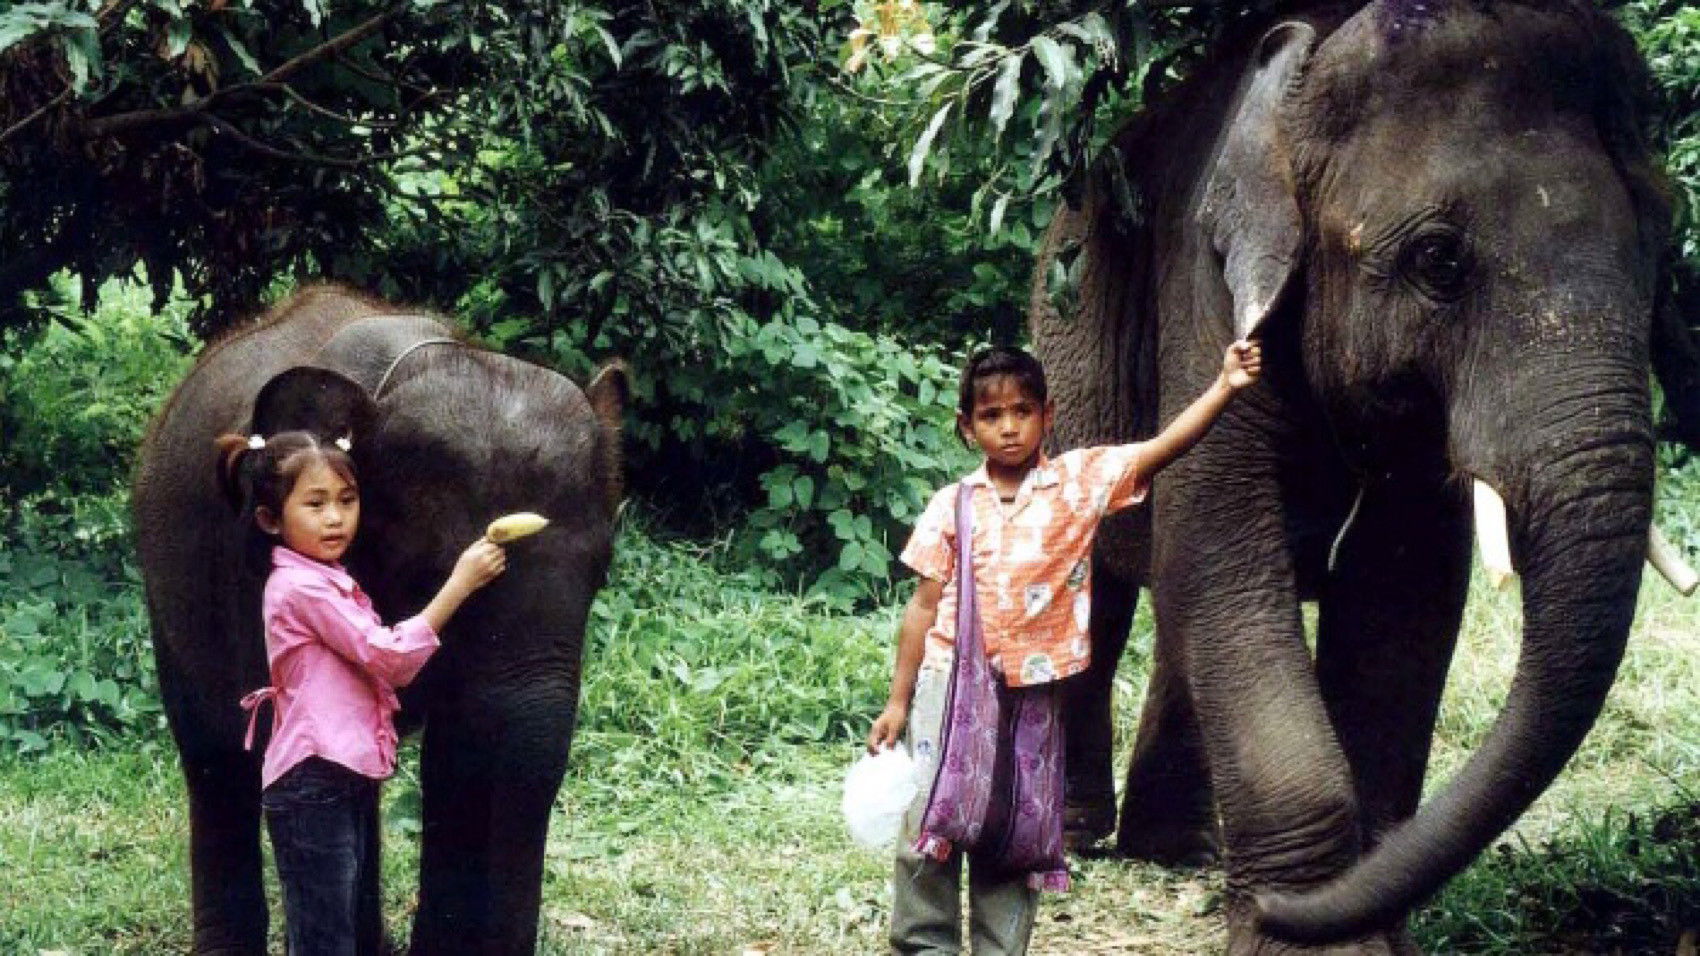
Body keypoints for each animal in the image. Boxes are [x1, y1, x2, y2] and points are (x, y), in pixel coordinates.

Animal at [132, 284, 626, 954]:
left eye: (604, 568)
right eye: (441, 569)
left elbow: (461, 754)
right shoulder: (250, 568)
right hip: (162, 582)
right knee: (214, 753)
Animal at [1030, 1, 1699, 951]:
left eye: (1662, 241)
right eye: (1438, 260)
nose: (1273, 906)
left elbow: (1399, 591)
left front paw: (1351, 919)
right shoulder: (1206, 291)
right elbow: (1224, 548)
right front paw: (1306, 929)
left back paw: (1181, 853)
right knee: (1105, 592)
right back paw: (1079, 840)